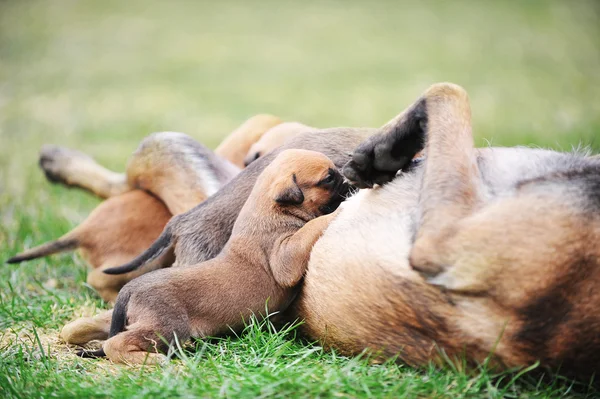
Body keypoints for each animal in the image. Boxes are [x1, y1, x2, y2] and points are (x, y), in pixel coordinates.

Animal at [82, 148, 350, 364]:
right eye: (329, 178)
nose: (349, 180)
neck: (268, 205)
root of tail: (130, 289)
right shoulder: (284, 257)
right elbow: (309, 230)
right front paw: (339, 211)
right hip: (166, 327)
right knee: (114, 344)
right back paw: (151, 359)